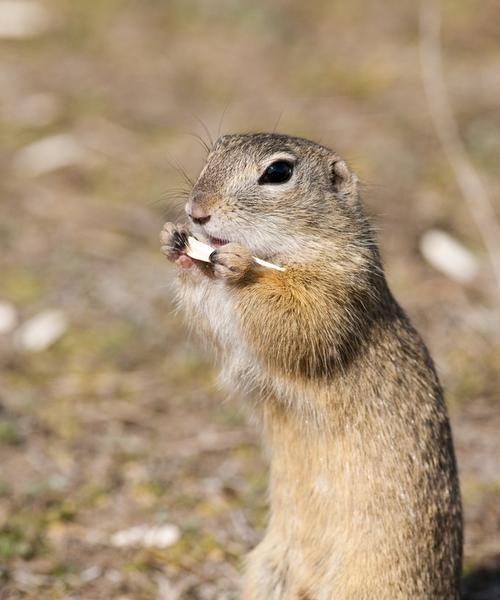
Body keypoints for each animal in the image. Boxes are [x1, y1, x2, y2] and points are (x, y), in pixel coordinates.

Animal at [160, 134, 460, 596]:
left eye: (278, 172)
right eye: (215, 151)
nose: (196, 211)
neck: (287, 252)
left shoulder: (339, 286)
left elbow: (300, 318)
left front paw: (241, 270)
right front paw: (176, 242)